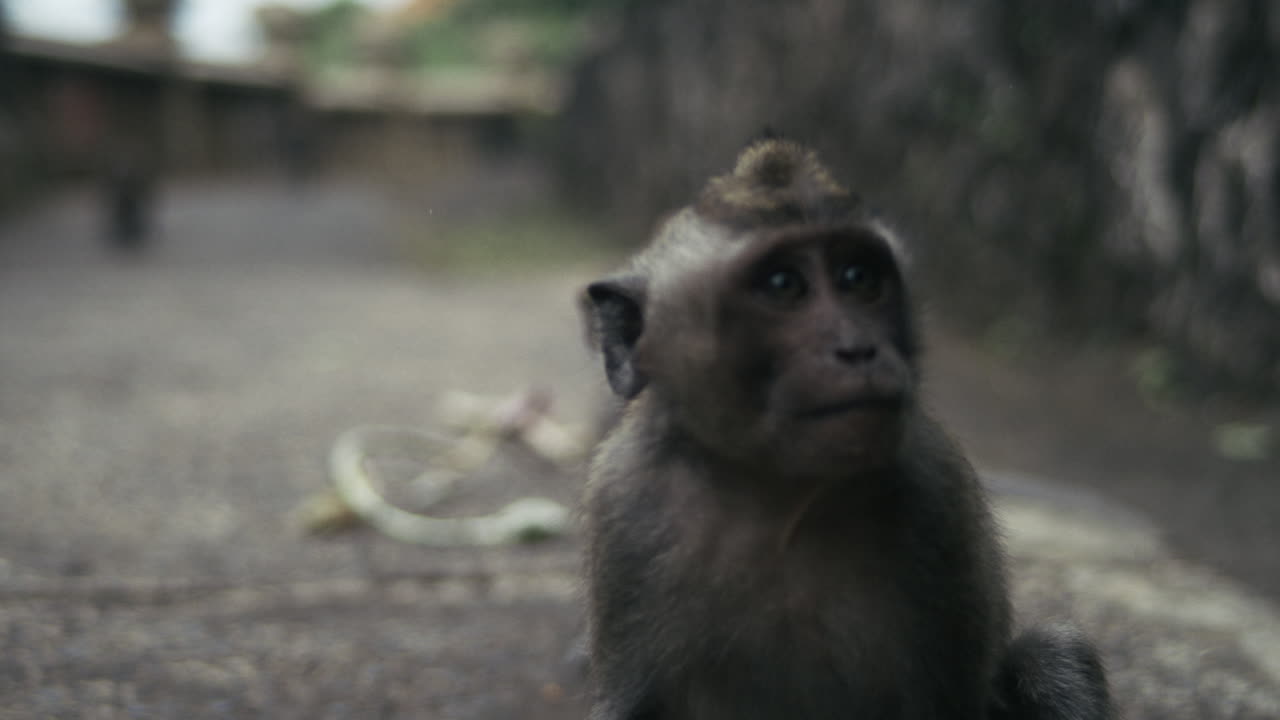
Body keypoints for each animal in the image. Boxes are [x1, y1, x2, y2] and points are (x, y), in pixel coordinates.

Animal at [578, 137, 1114, 720]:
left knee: (1050, 659)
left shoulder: (937, 492)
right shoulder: (627, 506)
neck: (776, 495)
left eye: (858, 278)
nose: (857, 348)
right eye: (783, 285)